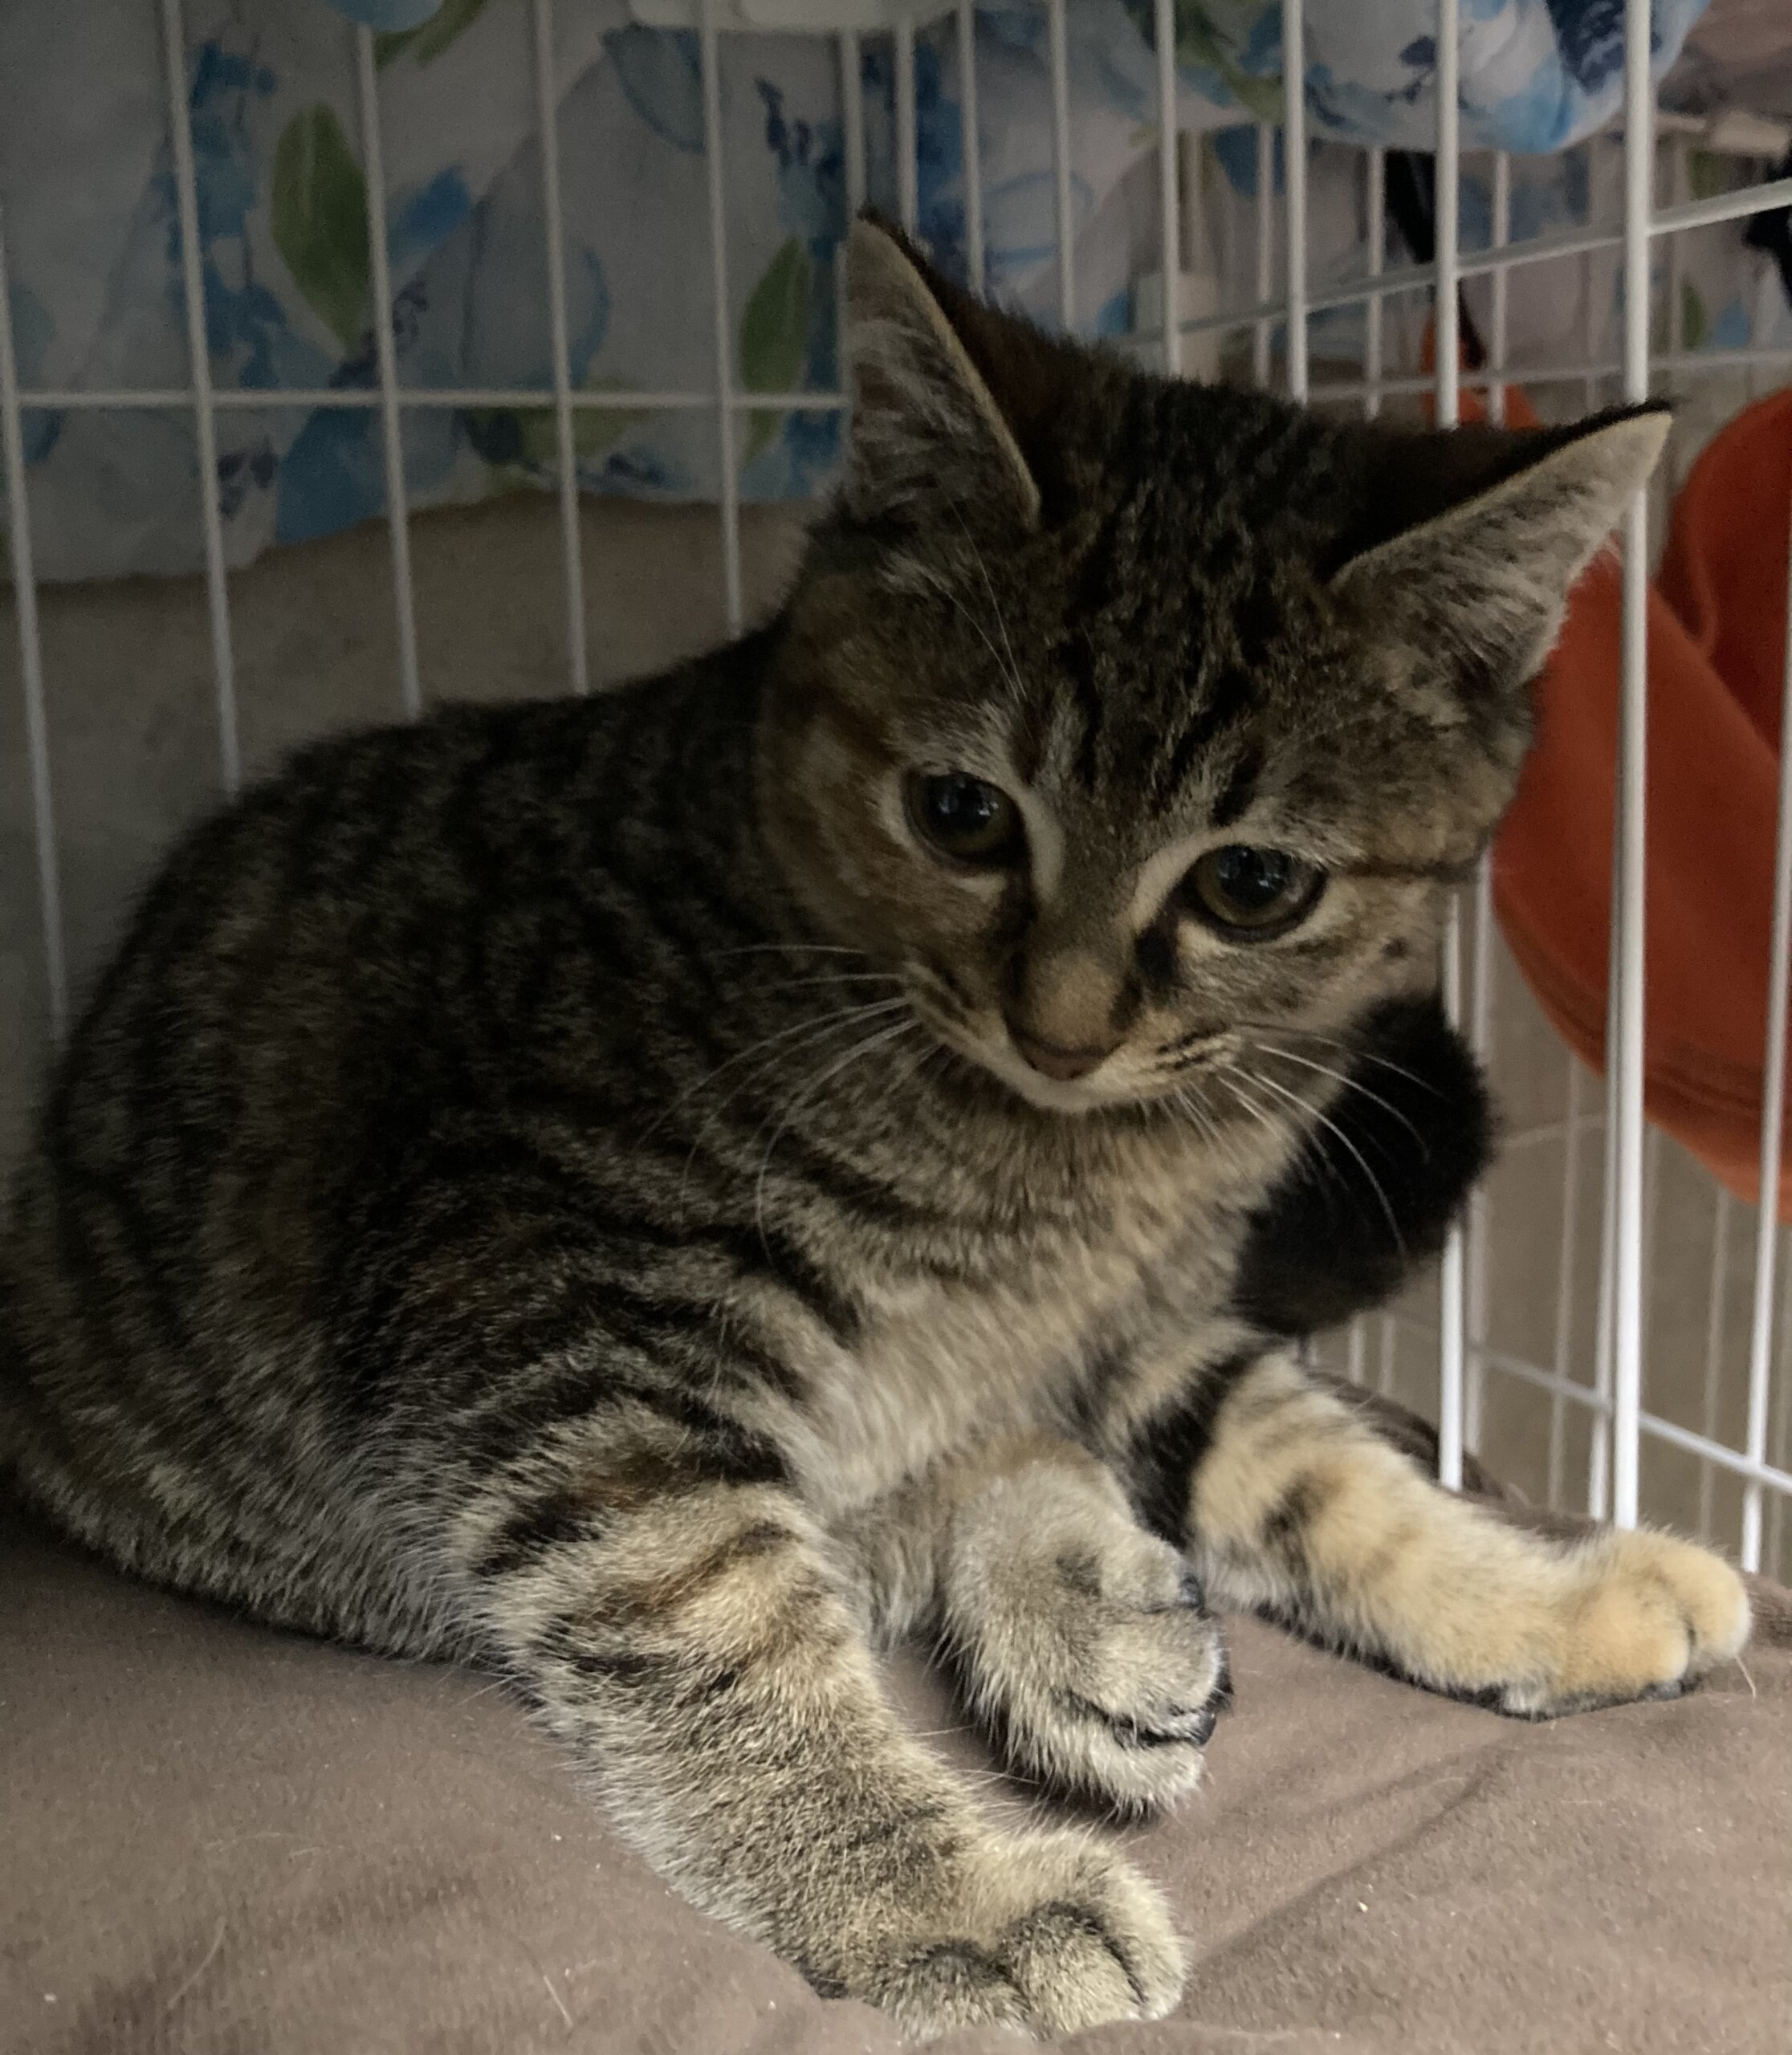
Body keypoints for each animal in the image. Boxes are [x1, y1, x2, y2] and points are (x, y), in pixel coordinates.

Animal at [0, 218, 1750, 2041]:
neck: (1069, 1169)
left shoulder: (1137, 1315)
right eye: (962, 813)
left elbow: (1303, 1457)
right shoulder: (550, 1313)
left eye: (1253, 883)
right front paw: (953, 1896)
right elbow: (717, 1613)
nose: (1063, 1025)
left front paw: (1543, 1589)